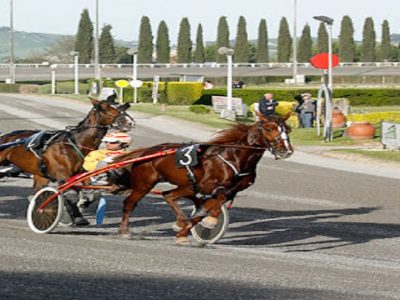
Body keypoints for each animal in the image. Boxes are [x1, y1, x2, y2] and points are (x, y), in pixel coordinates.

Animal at [0, 96, 134, 192]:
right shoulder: (63, 177)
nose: (130, 122)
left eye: (118, 106)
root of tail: (5, 136)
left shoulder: (83, 175)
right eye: (105, 108)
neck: (76, 144)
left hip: (40, 175)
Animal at [114, 112, 292, 244]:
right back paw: (124, 231)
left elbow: (207, 209)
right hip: (146, 184)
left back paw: (180, 222)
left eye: (288, 129)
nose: (286, 150)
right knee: (133, 202)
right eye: (269, 128)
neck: (235, 157)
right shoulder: (208, 186)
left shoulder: (231, 191)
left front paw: (186, 232)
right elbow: (213, 201)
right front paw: (207, 222)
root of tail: (147, 152)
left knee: (170, 195)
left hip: (186, 185)